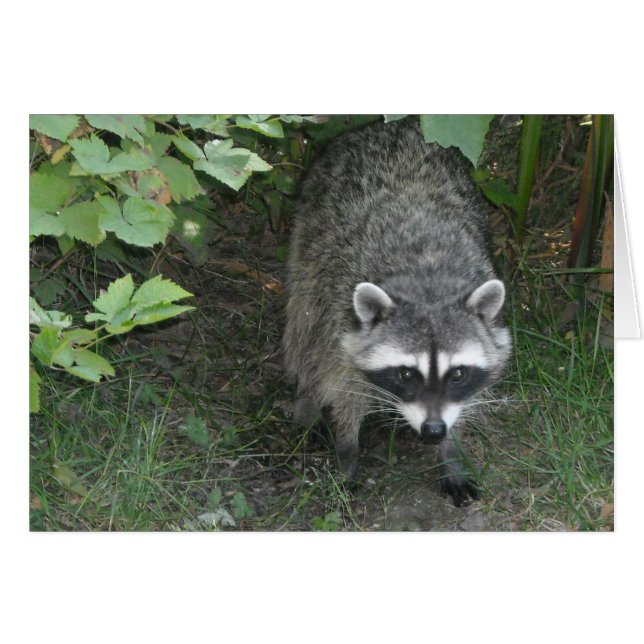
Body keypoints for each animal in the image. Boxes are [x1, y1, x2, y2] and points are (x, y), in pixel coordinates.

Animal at [282, 117, 511, 506]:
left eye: (458, 373)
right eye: (406, 374)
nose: (433, 431)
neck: (429, 285)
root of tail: (391, 125)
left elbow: (462, 403)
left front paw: (451, 454)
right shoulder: (340, 317)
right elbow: (344, 388)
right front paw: (347, 452)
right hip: (308, 235)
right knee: (303, 325)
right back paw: (307, 397)